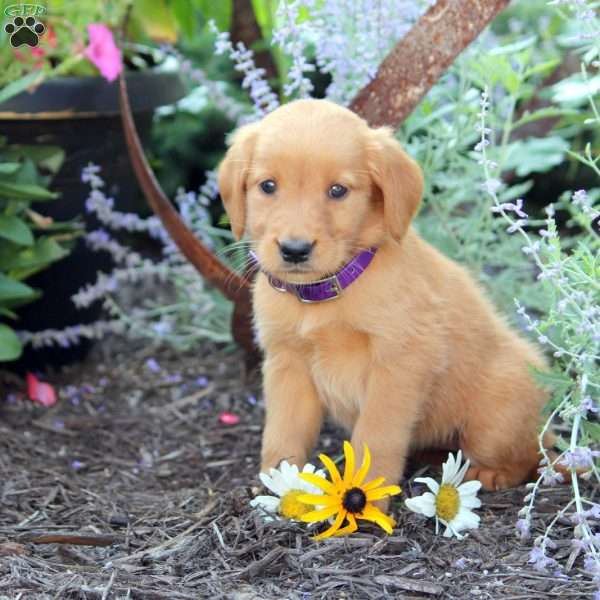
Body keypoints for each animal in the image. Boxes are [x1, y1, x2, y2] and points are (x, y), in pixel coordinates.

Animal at [217, 97, 548, 492]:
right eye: (268, 186)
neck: (324, 295)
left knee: (527, 456)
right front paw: (281, 488)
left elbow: (376, 438)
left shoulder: (399, 365)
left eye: (338, 191)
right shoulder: (286, 363)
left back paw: (491, 473)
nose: (295, 250)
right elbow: (283, 434)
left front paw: (367, 495)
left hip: (496, 414)